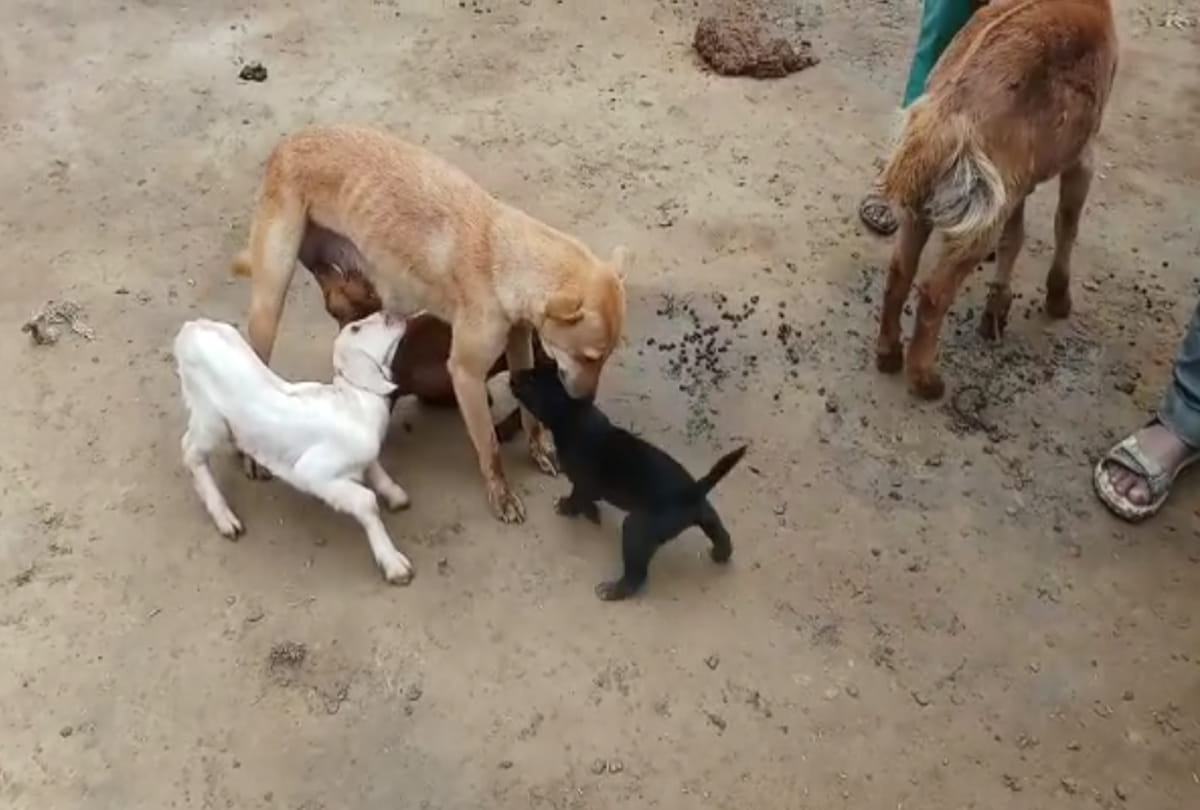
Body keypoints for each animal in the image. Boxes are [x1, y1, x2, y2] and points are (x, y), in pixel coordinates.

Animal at [174, 312, 416, 584]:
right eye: (355, 328)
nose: (391, 316)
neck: (356, 403)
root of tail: (192, 328)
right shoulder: (314, 473)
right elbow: (366, 502)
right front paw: (394, 564)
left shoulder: (364, 456)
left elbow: (376, 470)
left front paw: (396, 496)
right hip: (211, 418)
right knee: (190, 450)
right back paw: (225, 518)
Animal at [875, 0, 1118, 399]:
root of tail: (946, 118)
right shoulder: (1082, 154)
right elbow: (1066, 223)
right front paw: (1058, 299)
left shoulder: (1016, 181)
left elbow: (1014, 236)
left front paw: (997, 309)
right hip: (977, 213)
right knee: (934, 292)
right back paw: (925, 379)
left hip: (930, 196)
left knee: (899, 271)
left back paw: (888, 352)